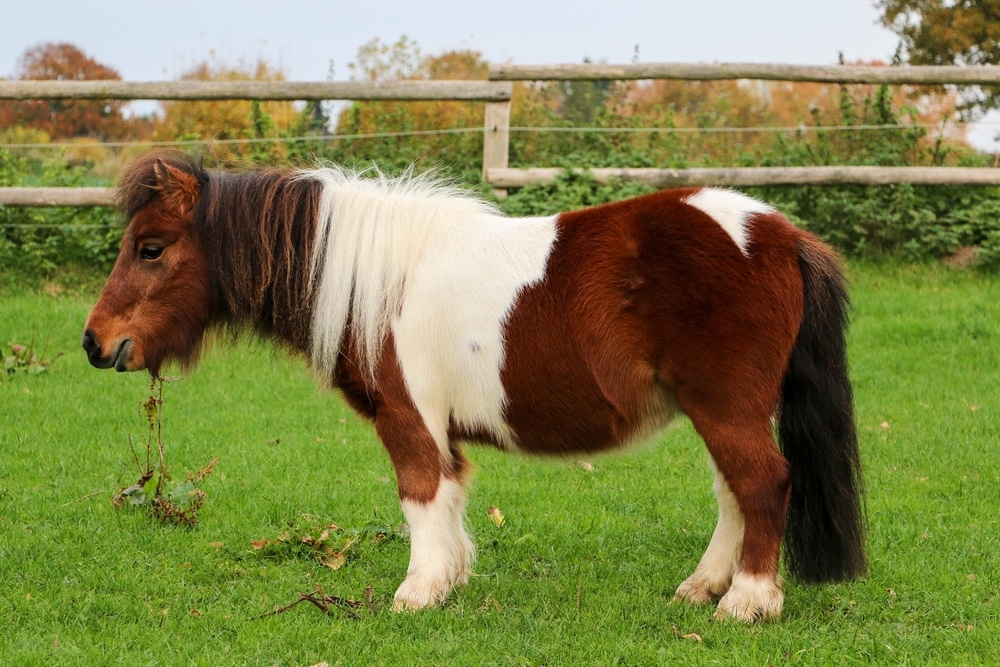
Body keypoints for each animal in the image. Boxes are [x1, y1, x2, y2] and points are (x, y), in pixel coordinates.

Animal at [86, 151, 864, 620]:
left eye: (150, 248)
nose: (95, 342)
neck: (375, 281)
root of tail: (780, 234)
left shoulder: (406, 415)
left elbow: (421, 493)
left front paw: (416, 591)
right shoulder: (437, 424)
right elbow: (450, 492)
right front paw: (450, 577)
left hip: (726, 406)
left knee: (762, 482)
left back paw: (748, 601)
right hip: (717, 409)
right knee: (736, 491)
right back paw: (706, 587)